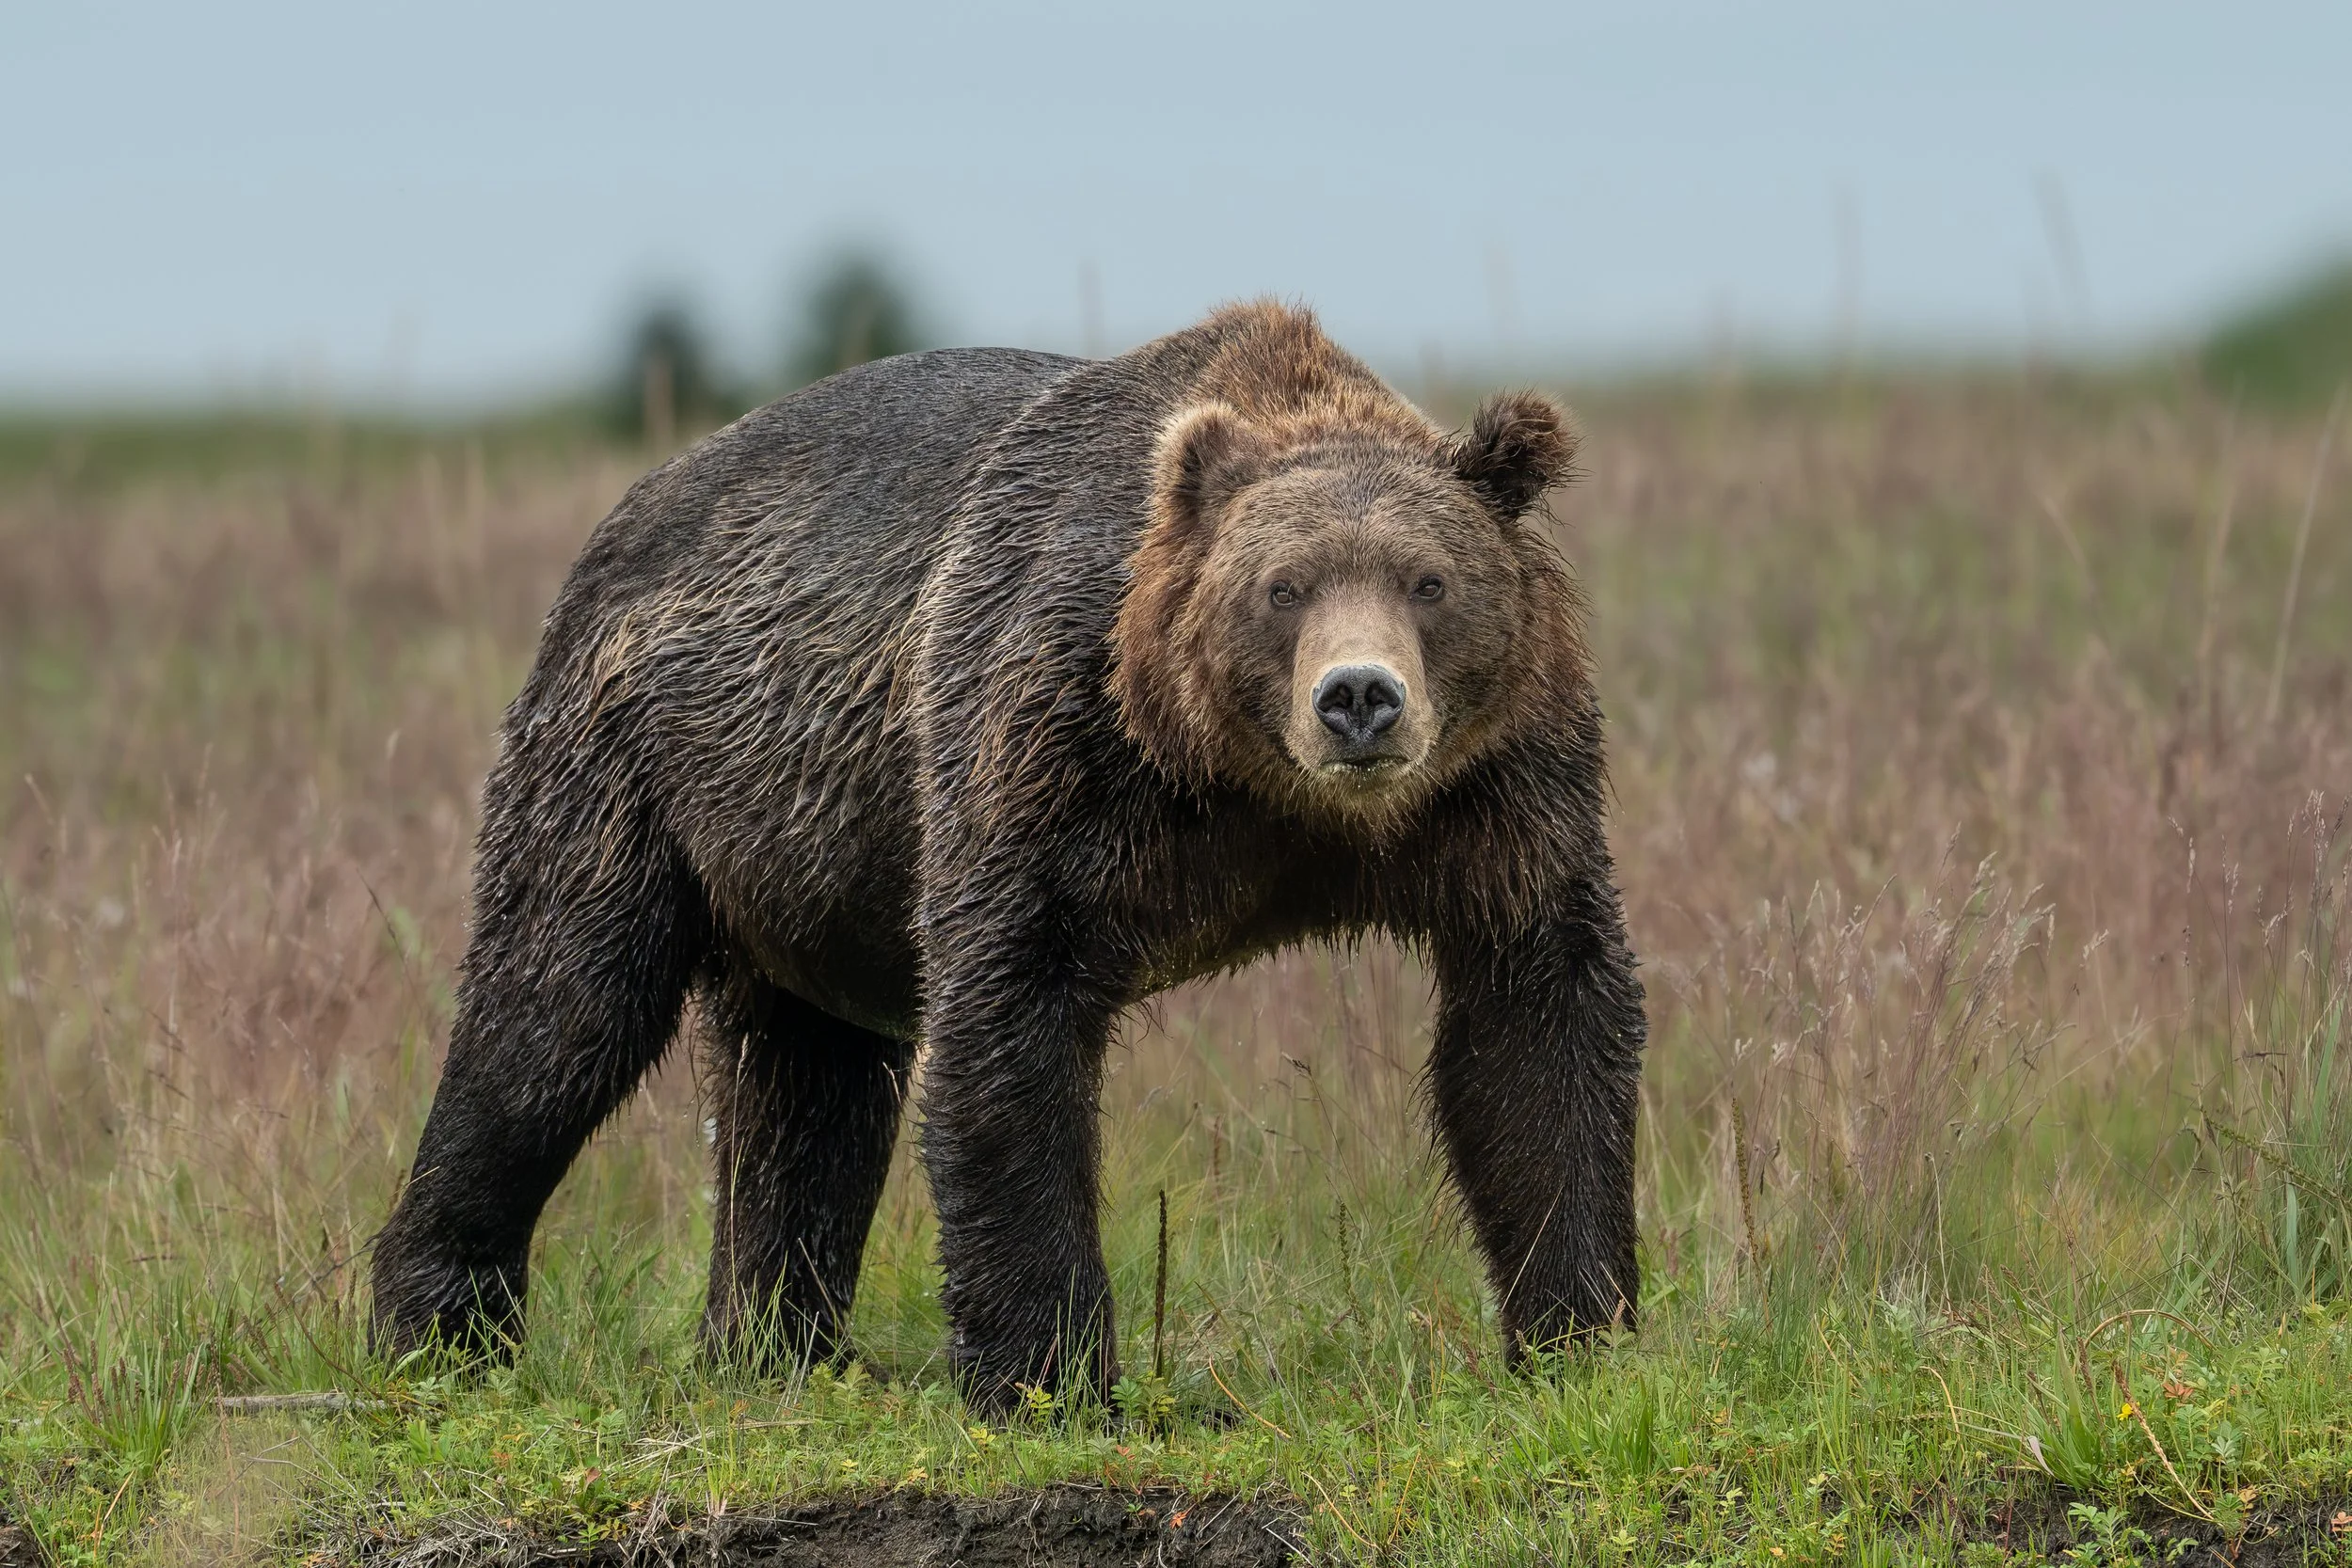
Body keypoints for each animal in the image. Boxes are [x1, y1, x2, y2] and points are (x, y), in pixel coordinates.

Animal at [369, 301, 1647, 1411]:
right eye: (1281, 587)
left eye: (1430, 579)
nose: (1359, 699)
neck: (1254, 789)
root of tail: (630, 507)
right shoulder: (1049, 740)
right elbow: (1007, 1013)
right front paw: (1052, 1370)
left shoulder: (1502, 795)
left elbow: (1537, 1028)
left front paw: (1578, 1335)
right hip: (635, 766)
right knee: (557, 1011)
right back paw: (440, 1322)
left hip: (799, 858)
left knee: (806, 1089)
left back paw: (773, 1344)